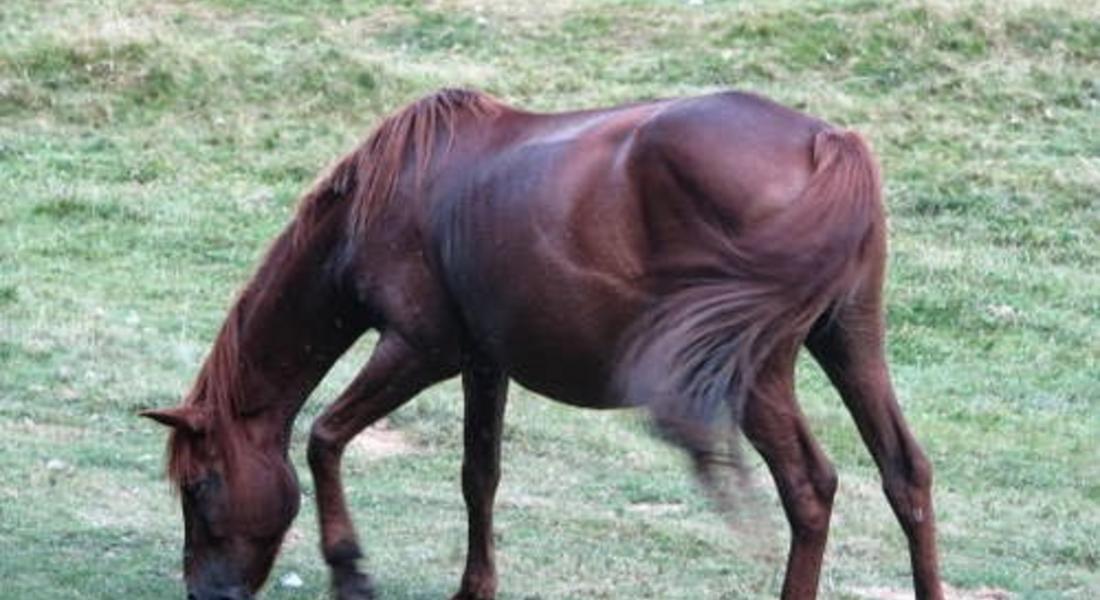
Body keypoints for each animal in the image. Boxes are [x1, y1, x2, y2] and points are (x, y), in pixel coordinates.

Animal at [141, 89, 941, 598]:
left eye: (200, 486)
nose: (206, 595)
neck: (383, 200)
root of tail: (828, 142)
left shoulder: (418, 350)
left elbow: (324, 439)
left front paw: (350, 570)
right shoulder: (482, 365)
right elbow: (479, 477)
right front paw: (474, 589)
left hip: (757, 374)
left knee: (809, 489)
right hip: (851, 344)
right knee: (905, 473)